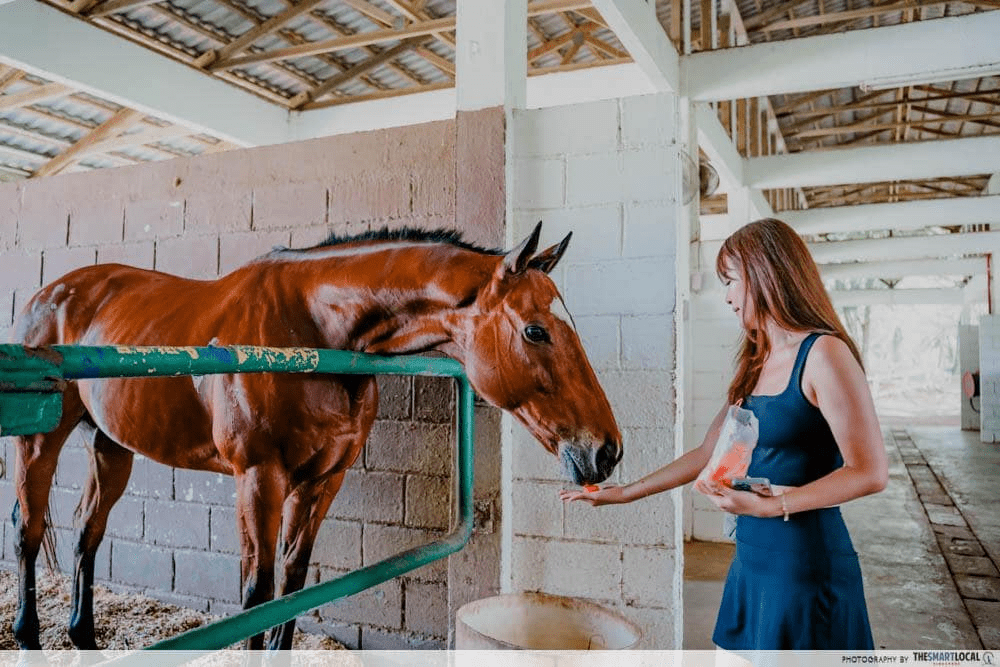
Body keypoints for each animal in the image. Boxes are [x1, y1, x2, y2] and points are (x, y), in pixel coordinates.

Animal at [9, 222, 622, 651]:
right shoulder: (259, 479)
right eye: (535, 331)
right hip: (40, 443)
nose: (607, 451)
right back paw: (27, 634)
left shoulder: (325, 480)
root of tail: (50, 294)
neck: (312, 328)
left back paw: (82, 636)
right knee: (28, 529)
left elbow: (294, 582)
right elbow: (257, 595)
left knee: (87, 531)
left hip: (110, 446)